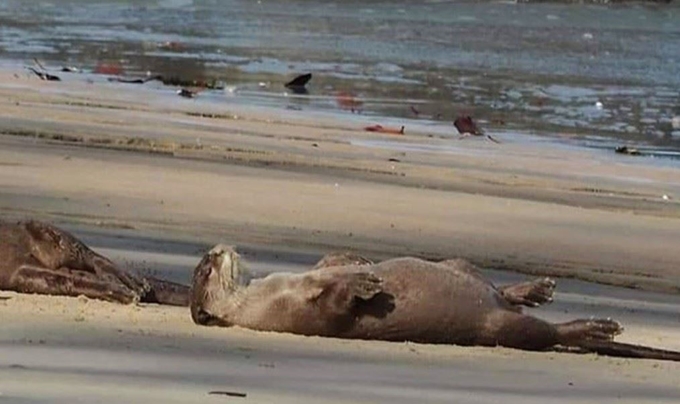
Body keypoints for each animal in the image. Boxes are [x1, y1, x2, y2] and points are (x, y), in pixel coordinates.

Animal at [0, 219, 189, 304]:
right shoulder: (20, 272)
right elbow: (63, 280)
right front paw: (120, 292)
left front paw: (124, 291)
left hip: (56, 237)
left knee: (92, 256)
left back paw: (132, 283)